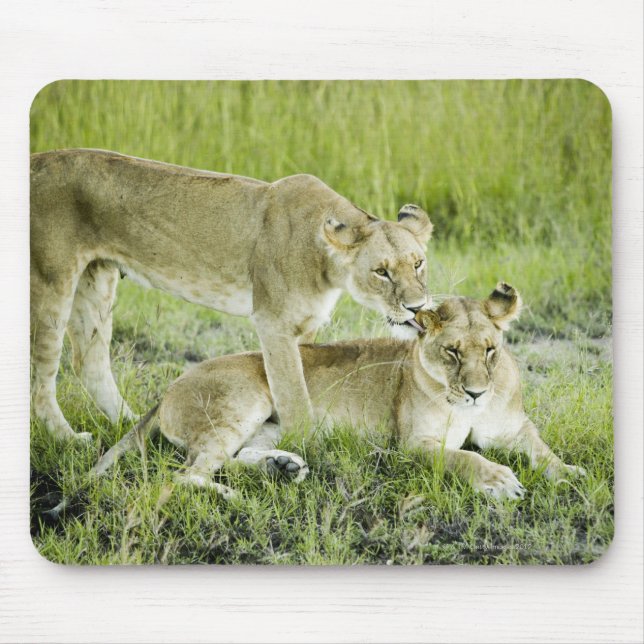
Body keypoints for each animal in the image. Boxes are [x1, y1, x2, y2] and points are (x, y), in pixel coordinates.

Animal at [31, 149, 432, 441]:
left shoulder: (306, 326)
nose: (417, 308)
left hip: (95, 279)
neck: (327, 265)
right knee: (41, 378)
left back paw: (133, 426)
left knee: (90, 361)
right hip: (51, 281)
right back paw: (69, 439)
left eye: (418, 264)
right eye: (381, 272)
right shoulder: (273, 323)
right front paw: (307, 446)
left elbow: (305, 382)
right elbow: (293, 392)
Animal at [65, 282, 584, 507]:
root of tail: (170, 386)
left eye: (491, 350)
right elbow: (465, 457)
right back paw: (234, 496)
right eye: (453, 352)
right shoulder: (413, 445)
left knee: (229, 457)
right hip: (243, 398)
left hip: (271, 424)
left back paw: (282, 468)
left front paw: (570, 473)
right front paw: (499, 480)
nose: (476, 393)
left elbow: (542, 449)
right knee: (187, 474)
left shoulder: (514, 428)